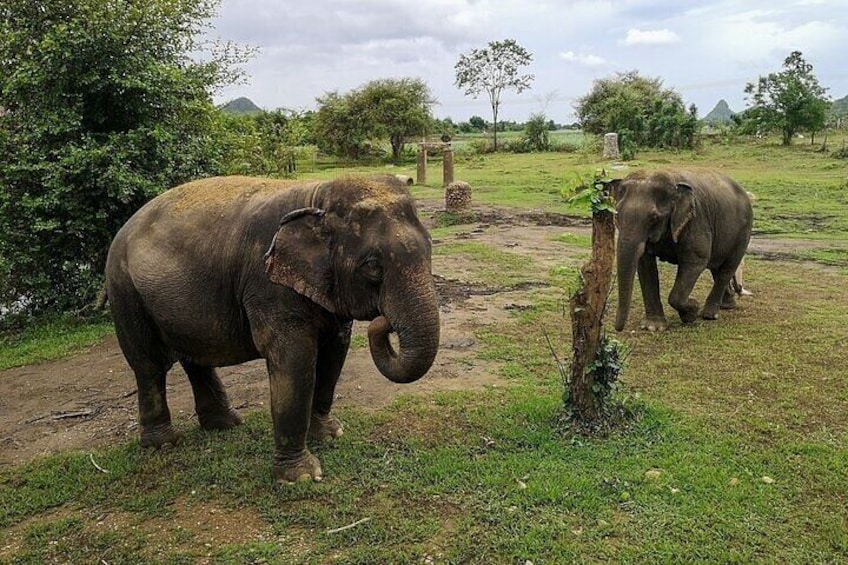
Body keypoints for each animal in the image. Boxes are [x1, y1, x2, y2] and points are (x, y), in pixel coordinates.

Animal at [102, 174, 440, 482]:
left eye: (430, 250)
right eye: (372, 266)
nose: (386, 322)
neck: (317, 196)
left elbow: (335, 352)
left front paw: (330, 435)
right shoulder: (267, 287)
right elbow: (295, 361)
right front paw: (301, 477)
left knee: (194, 356)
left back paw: (225, 424)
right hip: (125, 291)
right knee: (149, 365)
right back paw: (164, 445)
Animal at [608, 170, 756, 332]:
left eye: (654, 218)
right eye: (616, 215)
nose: (617, 329)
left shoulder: (696, 221)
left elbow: (696, 262)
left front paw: (692, 312)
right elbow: (645, 265)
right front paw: (653, 327)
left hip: (744, 230)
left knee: (727, 267)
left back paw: (709, 314)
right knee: (717, 267)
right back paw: (727, 306)